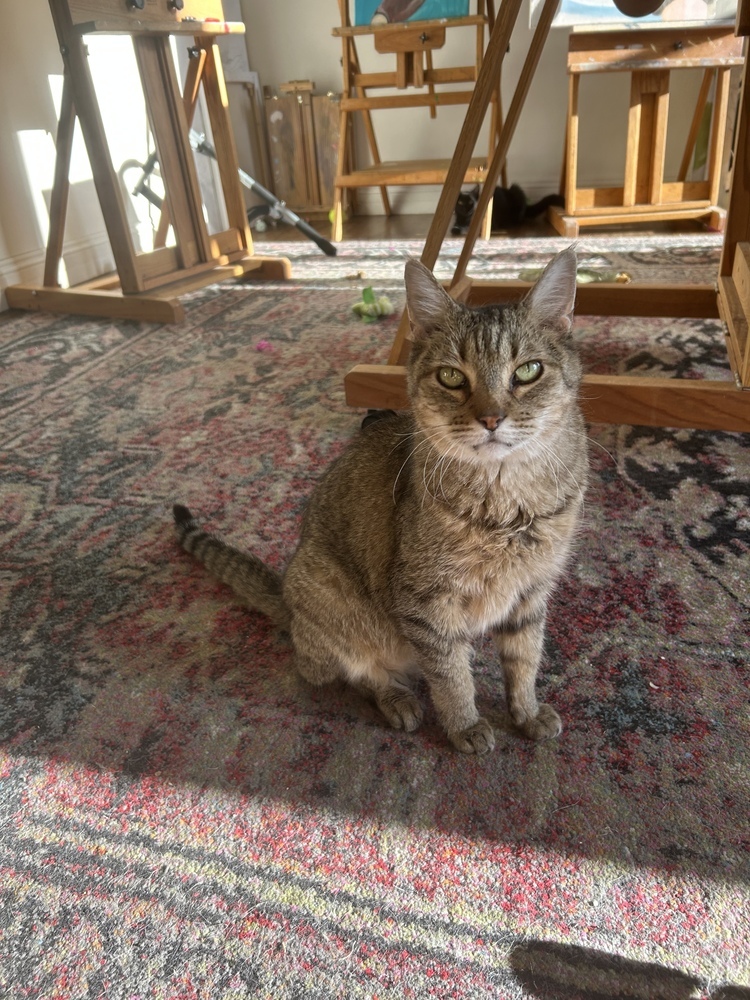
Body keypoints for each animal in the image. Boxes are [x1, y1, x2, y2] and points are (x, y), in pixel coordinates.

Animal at [173, 248, 592, 752]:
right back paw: (397, 699)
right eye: (451, 377)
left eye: (528, 371)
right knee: (351, 672)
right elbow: (452, 677)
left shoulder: (531, 593)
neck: (509, 504)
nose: (492, 418)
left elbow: (525, 660)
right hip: (334, 602)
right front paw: (465, 726)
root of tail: (289, 603)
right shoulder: (426, 604)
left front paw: (526, 713)